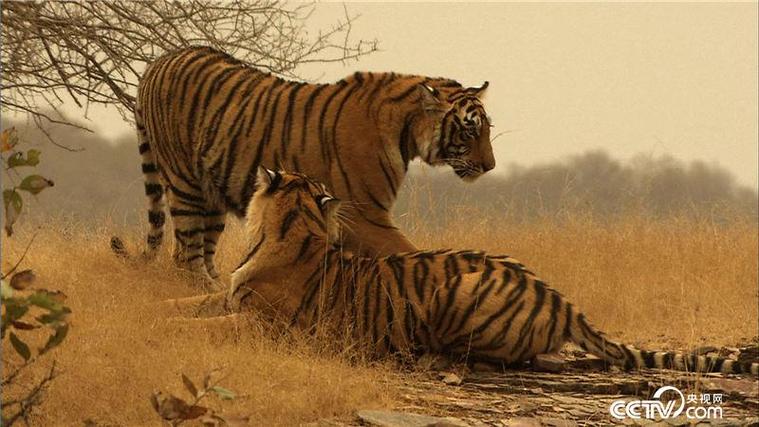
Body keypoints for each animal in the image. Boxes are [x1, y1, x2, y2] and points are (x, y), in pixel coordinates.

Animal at [110, 46, 495, 281]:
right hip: (184, 181)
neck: (406, 132)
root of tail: (159, 60)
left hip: (212, 191)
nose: (490, 166)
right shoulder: (364, 216)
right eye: (469, 129)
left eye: (487, 128)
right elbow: (408, 252)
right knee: (184, 255)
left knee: (202, 250)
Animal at [226, 168, 758, 376]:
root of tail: (561, 300)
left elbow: (212, 324)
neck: (291, 228)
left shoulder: (258, 321)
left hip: (458, 296)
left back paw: (429, 356)